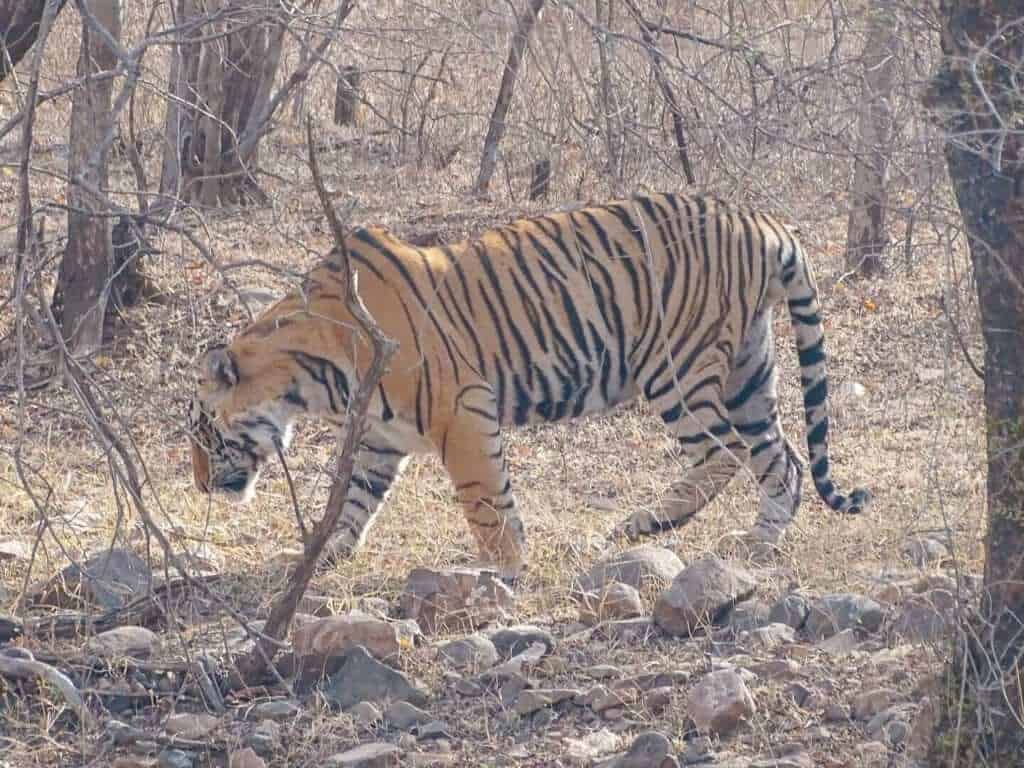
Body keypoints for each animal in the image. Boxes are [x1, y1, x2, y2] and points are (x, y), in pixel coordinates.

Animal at [187, 193, 869, 580]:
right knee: (782, 459)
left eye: (202, 433)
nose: (198, 486)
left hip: (677, 365)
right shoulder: (381, 435)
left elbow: (485, 498)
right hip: (749, 368)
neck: (313, 374)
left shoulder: (459, 410)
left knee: (722, 452)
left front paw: (503, 568)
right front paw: (320, 557)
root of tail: (762, 219)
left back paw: (641, 525)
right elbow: (354, 499)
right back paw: (756, 543)